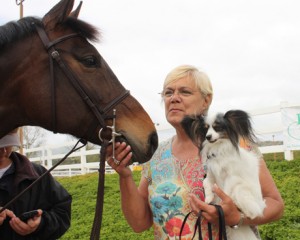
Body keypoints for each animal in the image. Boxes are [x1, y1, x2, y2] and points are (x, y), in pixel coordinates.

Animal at [182, 109, 266, 239]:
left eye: (217, 127)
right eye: (205, 129)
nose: (208, 136)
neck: (218, 148)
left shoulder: (231, 176)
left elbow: (226, 191)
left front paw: (223, 203)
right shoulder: (210, 174)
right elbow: (206, 184)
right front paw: (208, 198)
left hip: (241, 191)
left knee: (251, 212)